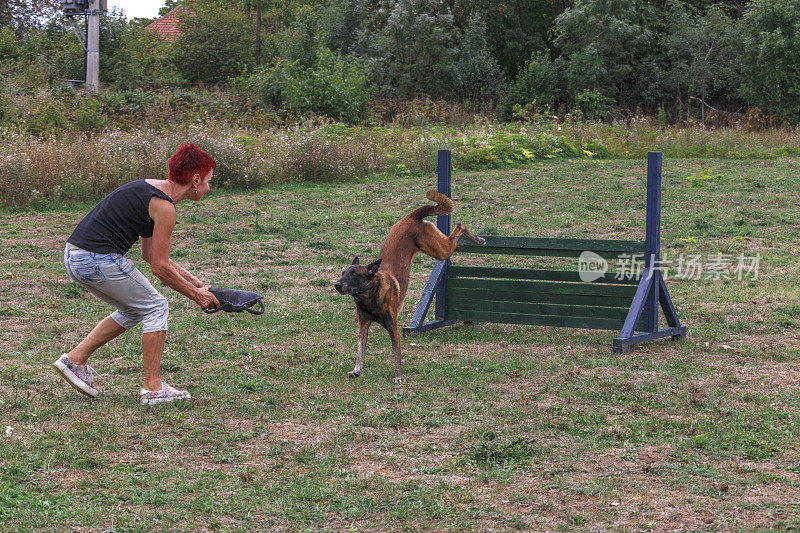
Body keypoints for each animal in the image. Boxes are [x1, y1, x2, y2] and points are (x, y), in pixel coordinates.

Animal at [330, 191, 482, 382]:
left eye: (354, 275)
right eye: (343, 273)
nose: (336, 285)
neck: (369, 297)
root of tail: (411, 217)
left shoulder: (393, 328)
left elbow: (397, 354)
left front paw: (399, 376)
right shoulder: (363, 326)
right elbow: (360, 350)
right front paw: (357, 370)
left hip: (440, 250)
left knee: (459, 228)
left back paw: (477, 239)